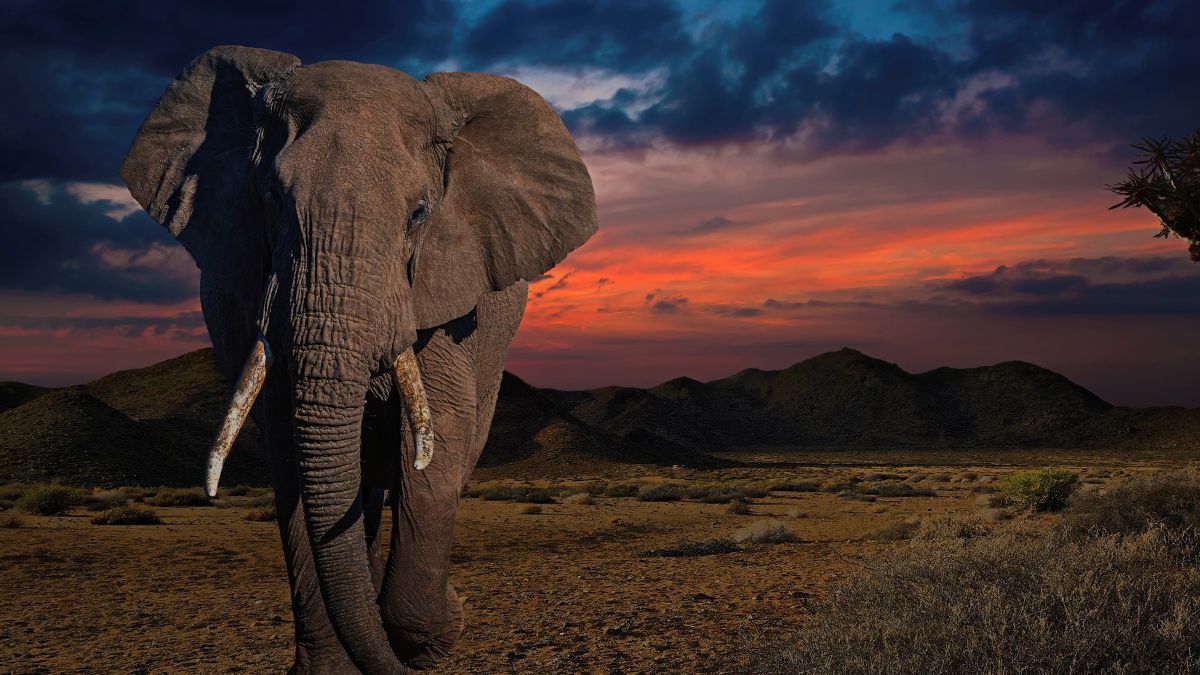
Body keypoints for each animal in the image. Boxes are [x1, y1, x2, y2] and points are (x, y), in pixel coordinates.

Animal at [119, 46, 597, 673]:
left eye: (419, 212)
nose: (460, 604)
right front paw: (340, 663)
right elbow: (291, 449)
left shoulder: (443, 291)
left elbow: (438, 438)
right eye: (271, 199)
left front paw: (433, 633)